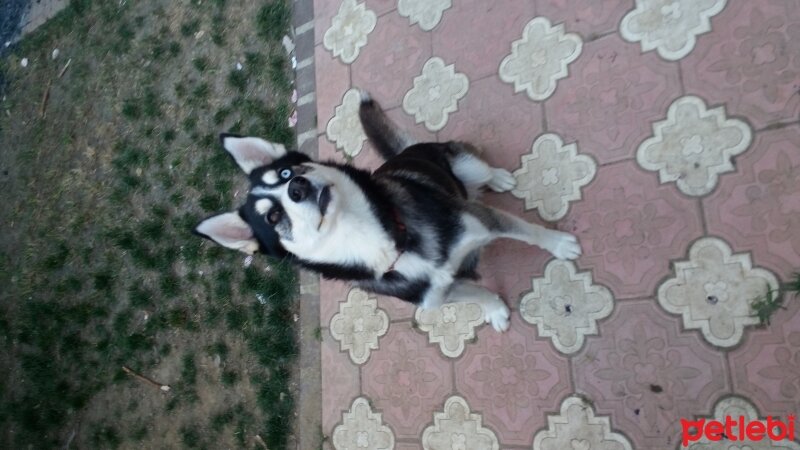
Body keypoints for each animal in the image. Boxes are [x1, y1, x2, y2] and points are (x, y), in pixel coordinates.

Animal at [194, 92, 580, 330]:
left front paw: (560, 244)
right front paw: (495, 309)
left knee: (479, 170)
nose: (298, 187)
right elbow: (477, 294)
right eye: (273, 218)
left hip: (464, 164)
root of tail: (403, 152)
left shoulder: (481, 220)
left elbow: (530, 231)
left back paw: (498, 178)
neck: (386, 241)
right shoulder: (434, 295)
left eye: (287, 173)